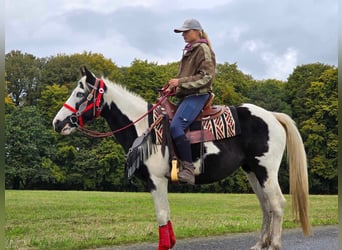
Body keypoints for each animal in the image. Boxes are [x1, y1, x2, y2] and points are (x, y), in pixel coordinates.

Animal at [52, 67, 310, 250]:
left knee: (276, 203)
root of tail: (272, 116)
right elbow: (166, 215)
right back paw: (260, 244)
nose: (57, 123)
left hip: (266, 170)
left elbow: (161, 214)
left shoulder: (156, 180)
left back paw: (274, 244)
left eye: (80, 93)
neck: (145, 127)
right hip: (252, 171)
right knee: (265, 205)